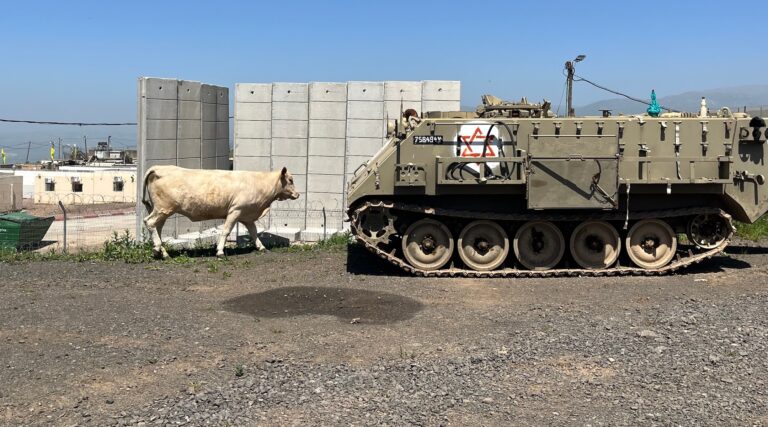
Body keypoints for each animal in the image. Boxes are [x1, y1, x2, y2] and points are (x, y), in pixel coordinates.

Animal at [141, 165, 299, 258]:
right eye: (290, 180)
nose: (298, 194)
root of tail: (158, 168)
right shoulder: (235, 210)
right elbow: (226, 231)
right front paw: (220, 252)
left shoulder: (247, 215)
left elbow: (254, 232)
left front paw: (261, 247)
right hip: (164, 208)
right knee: (149, 222)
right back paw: (158, 248)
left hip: (161, 210)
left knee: (157, 227)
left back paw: (161, 252)